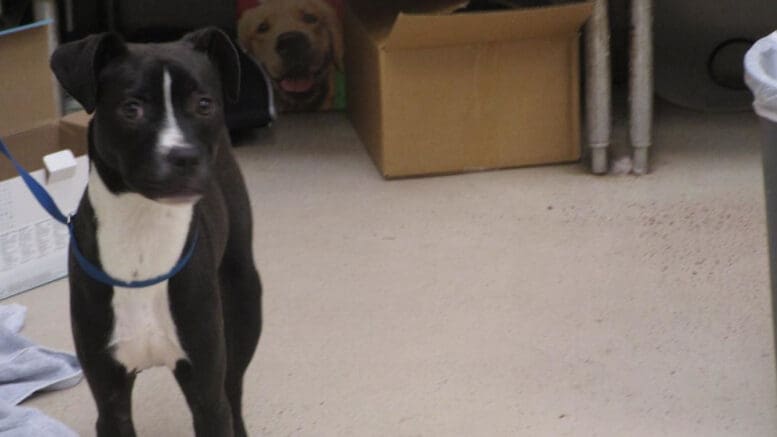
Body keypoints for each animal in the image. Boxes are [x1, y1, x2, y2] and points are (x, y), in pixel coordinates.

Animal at [52, 28, 264, 436]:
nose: (183, 156)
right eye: (132, 108)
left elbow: (219, 402)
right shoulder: (110, 399)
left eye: (203, 104)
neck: (142, 231)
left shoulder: (207, 395)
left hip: (244, 298)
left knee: (234, 388)